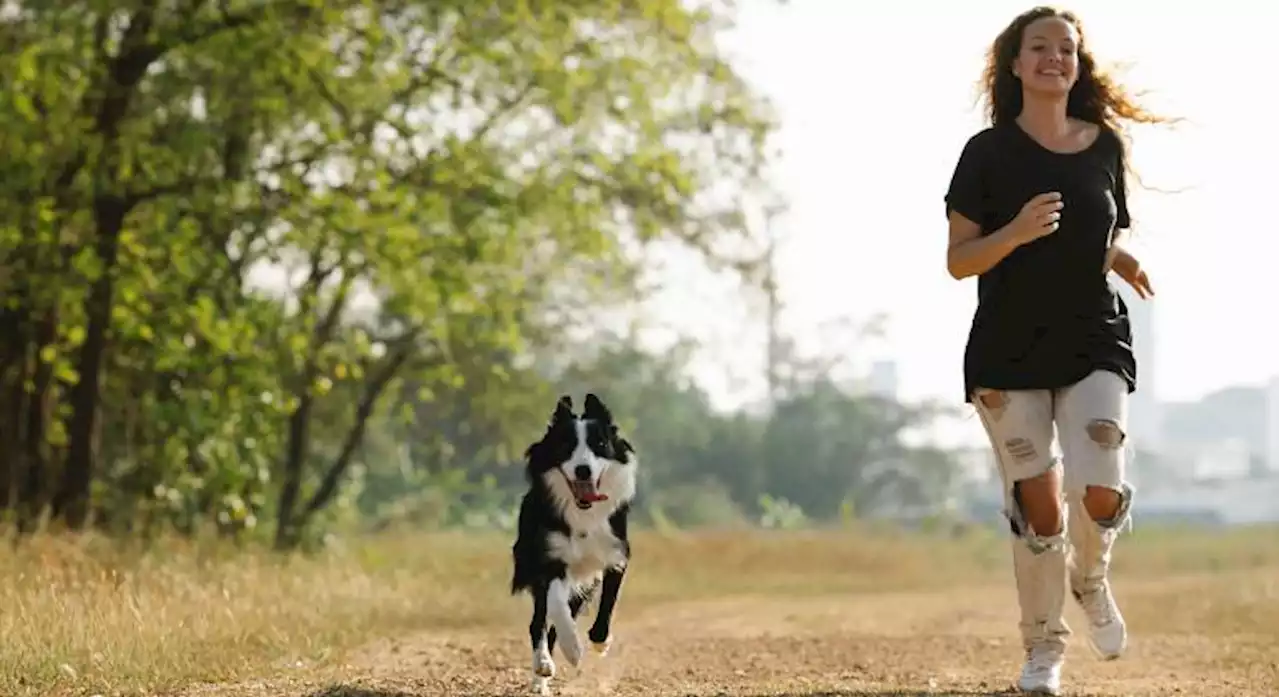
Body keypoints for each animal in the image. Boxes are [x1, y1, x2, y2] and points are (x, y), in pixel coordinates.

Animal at [504, 393, 634, 690]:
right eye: (566, 445)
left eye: (600, 445)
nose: (583, 470)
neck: (582, 513)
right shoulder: (549, 558)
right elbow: (556, 606)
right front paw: (573, 649)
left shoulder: (615, 554)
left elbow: (608, 602)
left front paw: (600, 642)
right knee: (539, 622)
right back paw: (542, 668)